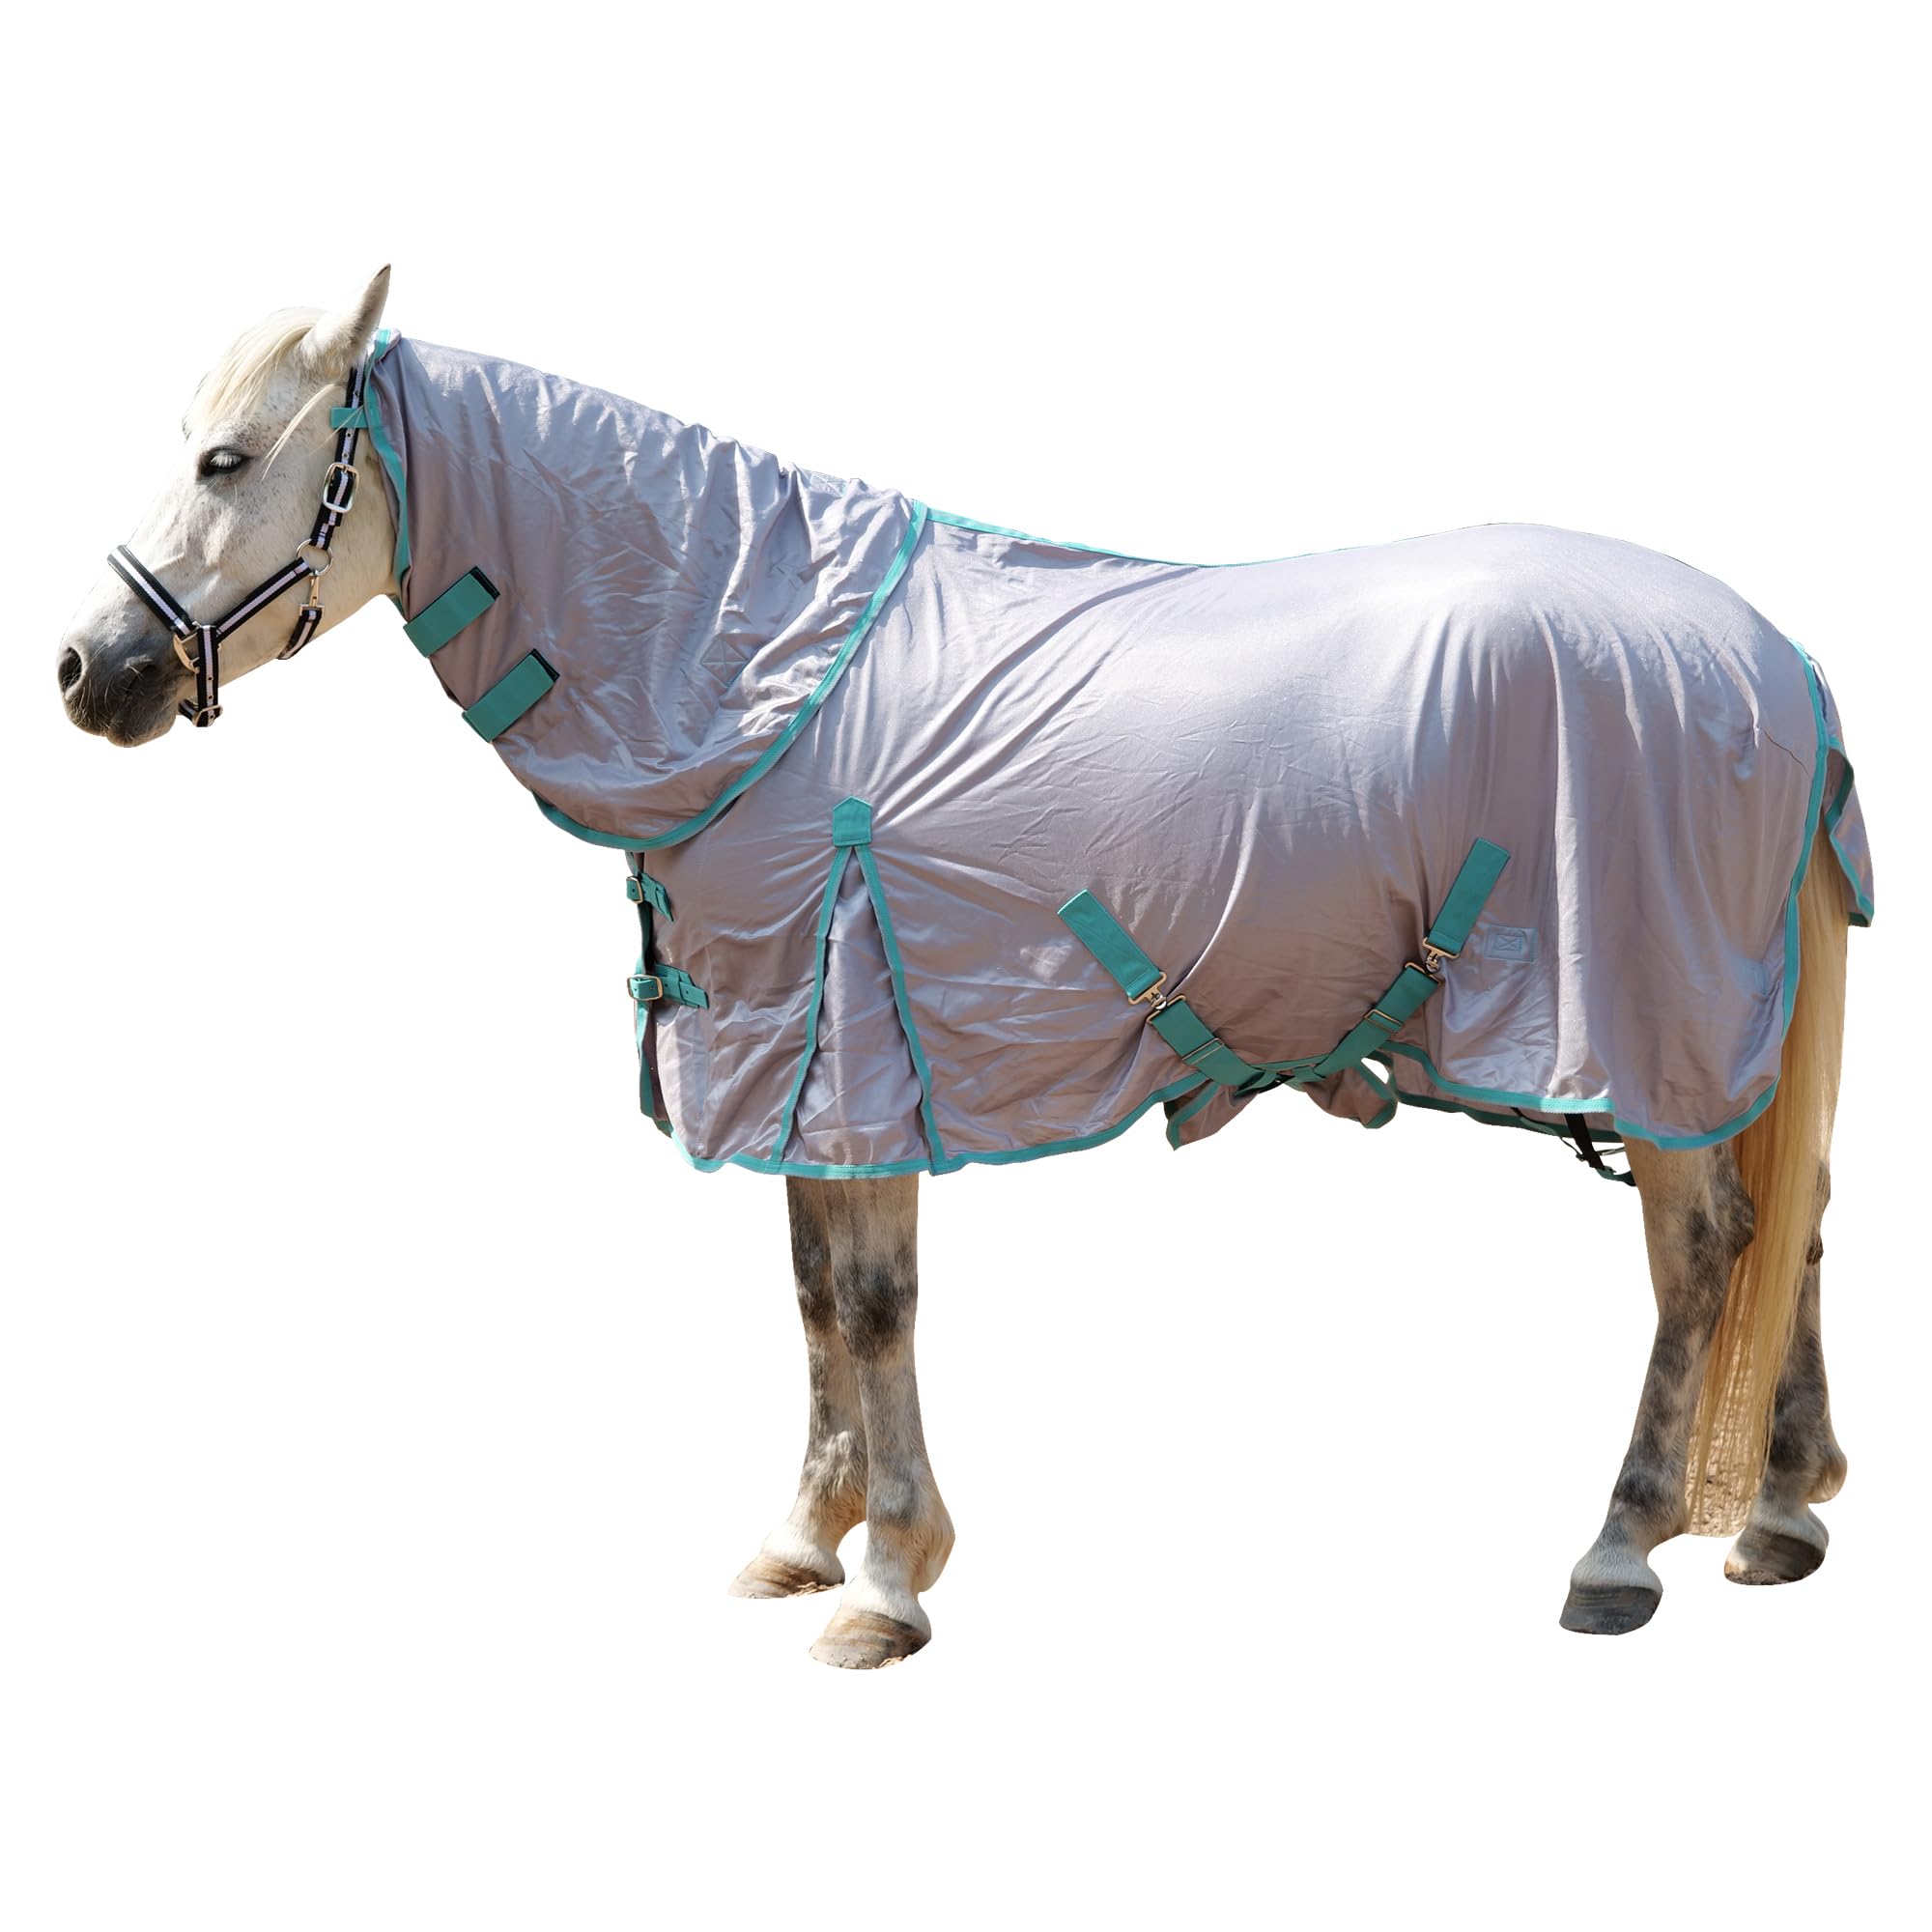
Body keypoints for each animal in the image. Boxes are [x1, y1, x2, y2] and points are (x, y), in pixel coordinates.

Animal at [56, 268, 1871, 1668]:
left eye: (225, 455)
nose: (91, 668)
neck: (751, 669)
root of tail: (1771, 660)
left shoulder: (858, 1040)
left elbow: (871, 1303)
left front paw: (886, 1584)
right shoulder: (795, 1050)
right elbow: (810, 1296)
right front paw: (804, 1538)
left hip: (1641, 1025)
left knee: (1703, 1250)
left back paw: (1623, 1548)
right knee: (1790, 1228)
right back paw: (1777, 1516)